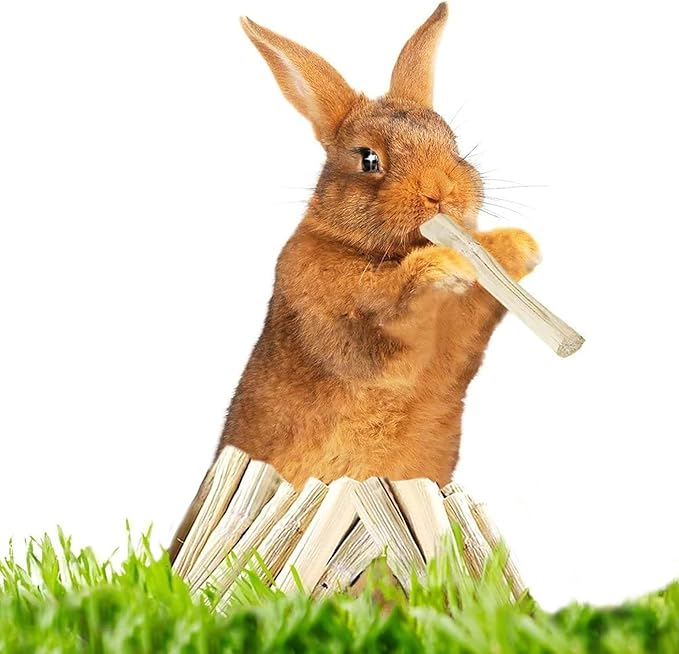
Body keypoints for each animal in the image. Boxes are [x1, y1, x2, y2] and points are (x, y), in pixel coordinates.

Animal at [216, 3, 540, 489]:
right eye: (368, 159)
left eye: (454, 144)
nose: (439, 190)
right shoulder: (350, 322)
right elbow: (389, 298)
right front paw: (440, 266)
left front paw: (517, 245)